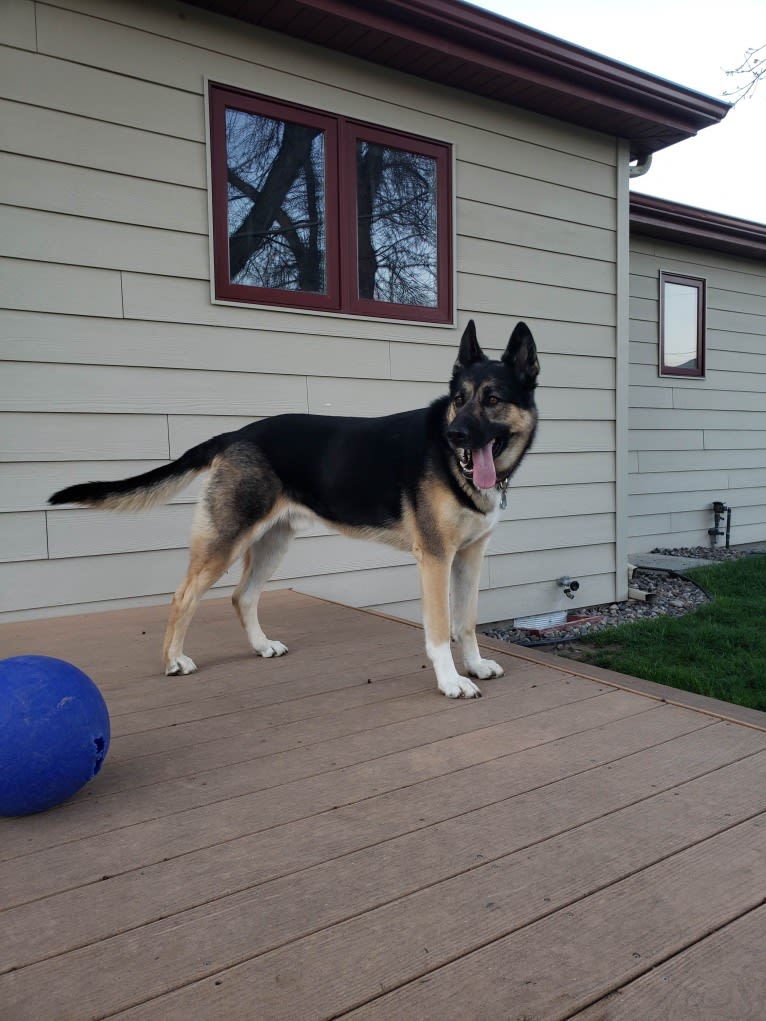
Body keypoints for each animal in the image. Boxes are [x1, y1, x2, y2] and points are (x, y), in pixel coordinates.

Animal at [49, 322, 539, 698]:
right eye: (458, 399)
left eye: (492, 399)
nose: (455, 435)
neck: (453, 464)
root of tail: (235, 435)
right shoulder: (435, 559)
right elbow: (439, 629)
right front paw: (451, 681)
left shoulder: (469, 557)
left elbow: (467, 622)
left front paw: (474, 666)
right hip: (226, 541)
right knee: (183, 595)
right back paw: (174, 660)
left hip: (273, 542)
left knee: (242, 595)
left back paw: (261, 646)